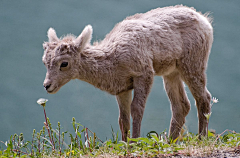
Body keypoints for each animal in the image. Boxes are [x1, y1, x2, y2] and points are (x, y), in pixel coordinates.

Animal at [41, 4, 214, 141]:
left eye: (64, 63)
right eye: (44, 62)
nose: (47, 85)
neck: (113, 59)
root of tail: (206, 22)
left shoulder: (144, 74)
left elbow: (136, 109)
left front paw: (136, 141)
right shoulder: (122, 88)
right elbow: (122, 119)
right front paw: (126, 144)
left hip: (192, 65)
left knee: (204, 98)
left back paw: (201, 138)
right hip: (171, 73)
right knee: (181, 106)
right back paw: (170, 141)